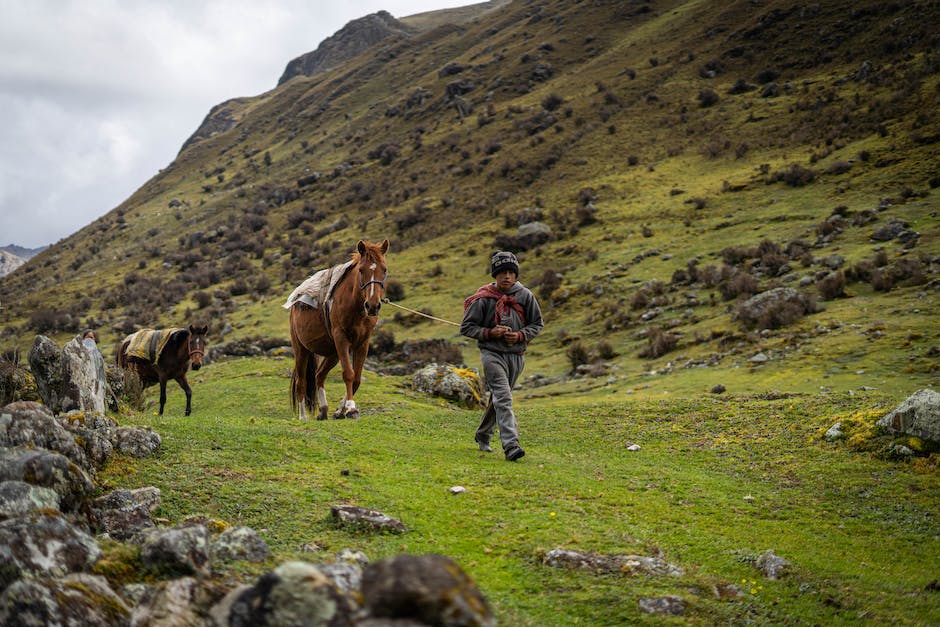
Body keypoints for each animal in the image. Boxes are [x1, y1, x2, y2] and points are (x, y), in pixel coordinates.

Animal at [286, 240, 390, 422]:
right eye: (361, 270)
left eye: (384, 270)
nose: (372, 306)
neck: (355, 306)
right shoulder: (341, 338)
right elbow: (348, 374)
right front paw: (351, 408)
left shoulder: (362, 344)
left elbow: (356, 379)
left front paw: (340, 411)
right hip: (301, 350)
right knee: (301, 382)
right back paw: (303, 416)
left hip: (333, 353)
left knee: (319, 375)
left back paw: (324, 410)